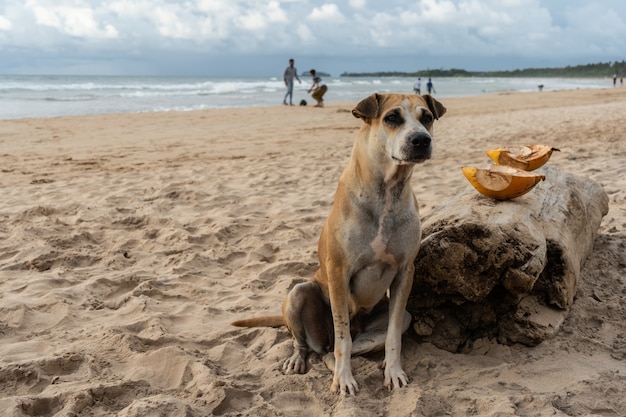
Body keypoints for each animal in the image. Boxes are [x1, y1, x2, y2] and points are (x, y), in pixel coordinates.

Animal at [233, 93, 444, 394]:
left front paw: (393, 371)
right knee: (316, 346)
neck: (387, 192)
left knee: (354, 344)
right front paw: (344, 379)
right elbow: (342, 337)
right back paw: (299, 359)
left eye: (426, 117)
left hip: (398, 318)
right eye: (392, 118)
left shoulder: (405, 272)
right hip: (299, 293)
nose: (421, 140)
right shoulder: (338, 272)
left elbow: (392, 336)